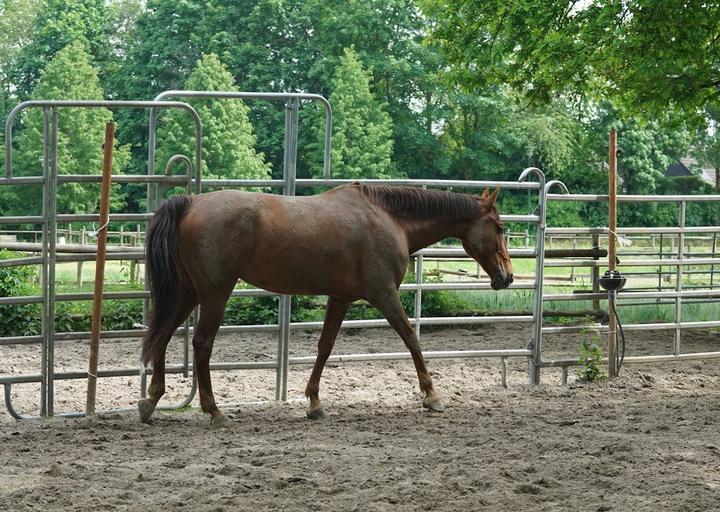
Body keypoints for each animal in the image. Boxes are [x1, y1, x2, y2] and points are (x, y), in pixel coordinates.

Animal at [139, 182, 512, 426]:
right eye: (499, 227)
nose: (506, 277)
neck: (389, 218)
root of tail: (190, 201)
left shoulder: (340, 298)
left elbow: (325, 347)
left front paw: (314, 402)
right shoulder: (384, 295)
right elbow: (411, 338)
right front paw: (432, 395)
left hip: (187, 293)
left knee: (163, 336)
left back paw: (151, 401)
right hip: (215, 294)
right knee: (201, 344)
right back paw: (213, 411)